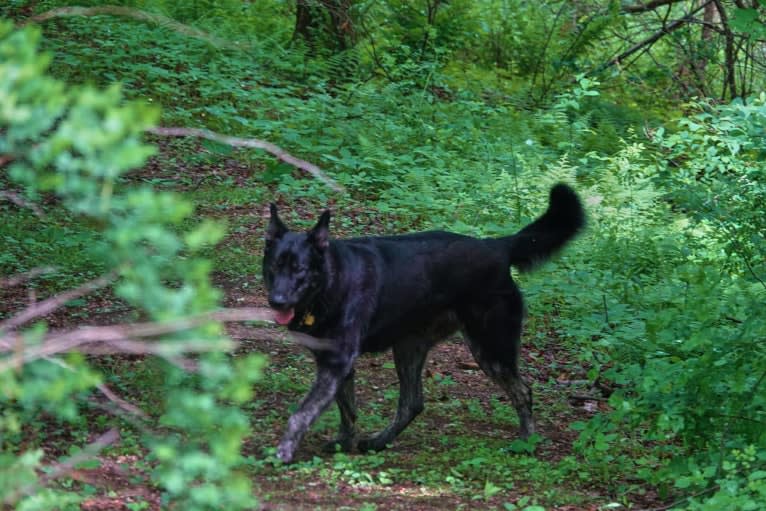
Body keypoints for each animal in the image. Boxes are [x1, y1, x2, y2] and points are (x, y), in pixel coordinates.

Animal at [264, 185, 588, 464]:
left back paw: (526, 442)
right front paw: (344, 442)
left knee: (523, 392)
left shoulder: (337, 362)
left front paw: (284, 451)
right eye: (274, 267)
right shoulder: (336, 364)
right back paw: (379, 442)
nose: (277, 301)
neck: (331, 281)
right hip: (409, 347)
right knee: (412, 402)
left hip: (490, 349)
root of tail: (497, 246)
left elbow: (303, 412)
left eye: (300, 270)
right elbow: (347, 409)